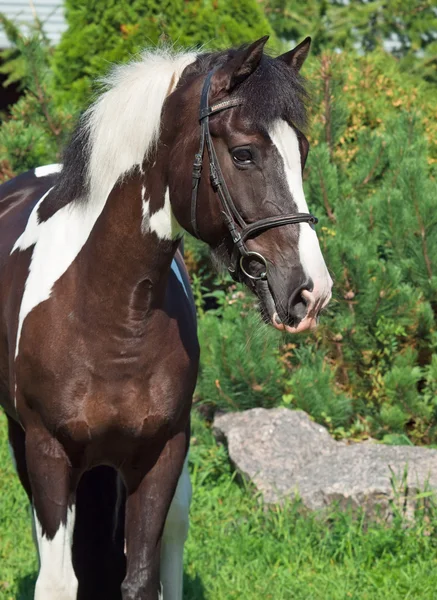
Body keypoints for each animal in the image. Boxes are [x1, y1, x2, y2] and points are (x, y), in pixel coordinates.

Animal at [0, 37, 330, 600]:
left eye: (301, 153)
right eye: (243, 154)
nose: (312, 291)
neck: (112, 316)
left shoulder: (163, 451)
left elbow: (141, 576)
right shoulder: (48, 450)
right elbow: (58, 578)